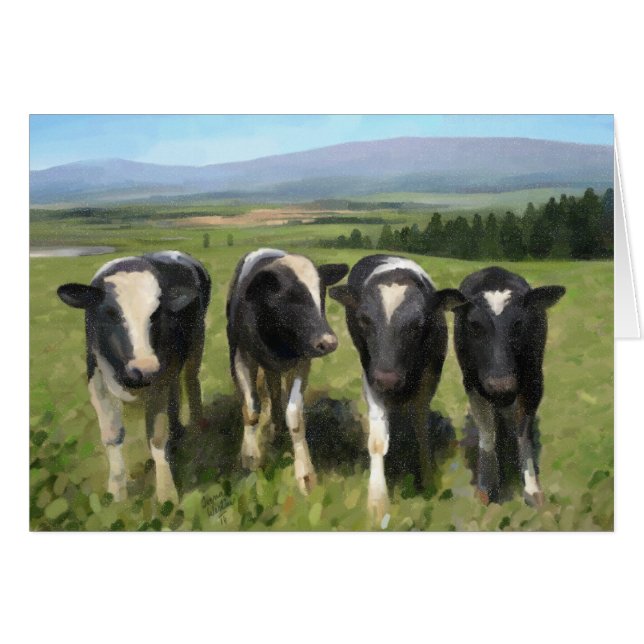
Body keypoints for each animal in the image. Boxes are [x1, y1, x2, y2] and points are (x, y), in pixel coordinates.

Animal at [57, 250, 211, 504]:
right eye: (109, 313)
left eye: (157, 314)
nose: (145, 369)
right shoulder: (97, 382)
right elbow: (112, 436)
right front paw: (116, 492)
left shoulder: (159, 380)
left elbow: (157, 438)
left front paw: (167, 493)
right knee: (175, 391)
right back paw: (177, 429)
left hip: (197, 339)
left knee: (190, 381)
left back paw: (198, 426)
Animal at [226, 248, 348, 495]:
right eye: (291, 297)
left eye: (322, 294)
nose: (328, 342)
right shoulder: (240, 356)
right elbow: (251, 408)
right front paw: (251, 458)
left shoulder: (303, 361)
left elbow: (294, 414)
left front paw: (306, 474)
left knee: (274, 392)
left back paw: (278, 427)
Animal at [329, 255, 465, 522]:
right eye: (364, 319)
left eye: (417, 324)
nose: (387, 380)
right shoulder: (371, 376)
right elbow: (377, 442)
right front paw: (377, 502)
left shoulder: (429, 380)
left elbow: (422, 430)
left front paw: (428, 480)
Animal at [451, 266, 565, 506]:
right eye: (474, 325)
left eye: (519, 323)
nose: (501, 386)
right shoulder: (471, 382)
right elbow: (487, 432)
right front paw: (487, 484)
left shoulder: (534, 381)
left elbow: (523, 434)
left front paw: (531, 486)